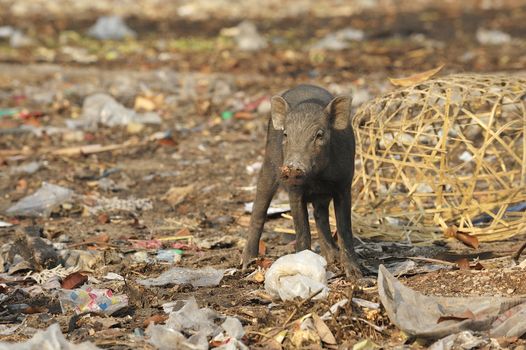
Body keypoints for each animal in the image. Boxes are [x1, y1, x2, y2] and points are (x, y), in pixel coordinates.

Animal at [243, 83, 364, 278]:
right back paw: (246, 263)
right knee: (259, 207)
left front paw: (355, 274)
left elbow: (345, 229)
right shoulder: (294, 190)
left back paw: (332, 258)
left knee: (320, 215)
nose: (293, 167)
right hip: (269, 163)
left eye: (319, 135)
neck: (317, 178)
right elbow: (302, 230)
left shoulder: (344, 184)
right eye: (286, 134)